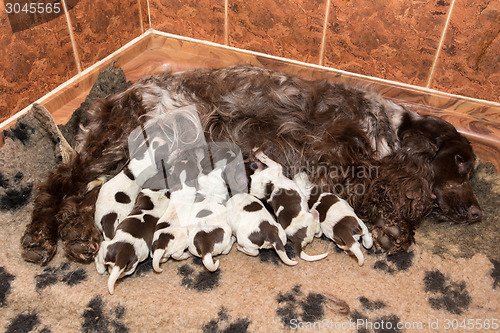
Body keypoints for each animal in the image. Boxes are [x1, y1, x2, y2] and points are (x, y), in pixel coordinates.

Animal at [20, 64, 480, 262]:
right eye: (460, 163)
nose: (478, 213)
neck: (386, 126)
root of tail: (115, 98)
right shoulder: (334, 151)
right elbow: (378, 182)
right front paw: (396, 227)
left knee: (88, 197)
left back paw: (78, 237)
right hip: (138, 142)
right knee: (58, 182)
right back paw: (40, 239)